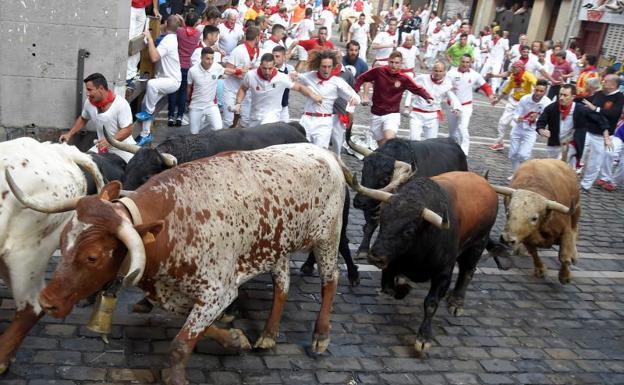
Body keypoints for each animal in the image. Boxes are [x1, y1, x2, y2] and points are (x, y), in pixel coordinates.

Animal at [342, 166, 498, 352]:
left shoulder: (443, 273)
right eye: (382, 219)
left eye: (409, 231)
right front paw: (403, 288)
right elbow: (389, 288)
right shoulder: (392, 263)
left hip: (478, 244)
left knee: (467, 271)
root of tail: (484, 182)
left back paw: (457, 301)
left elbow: (431, 303)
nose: (375, 256)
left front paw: (424, 337)